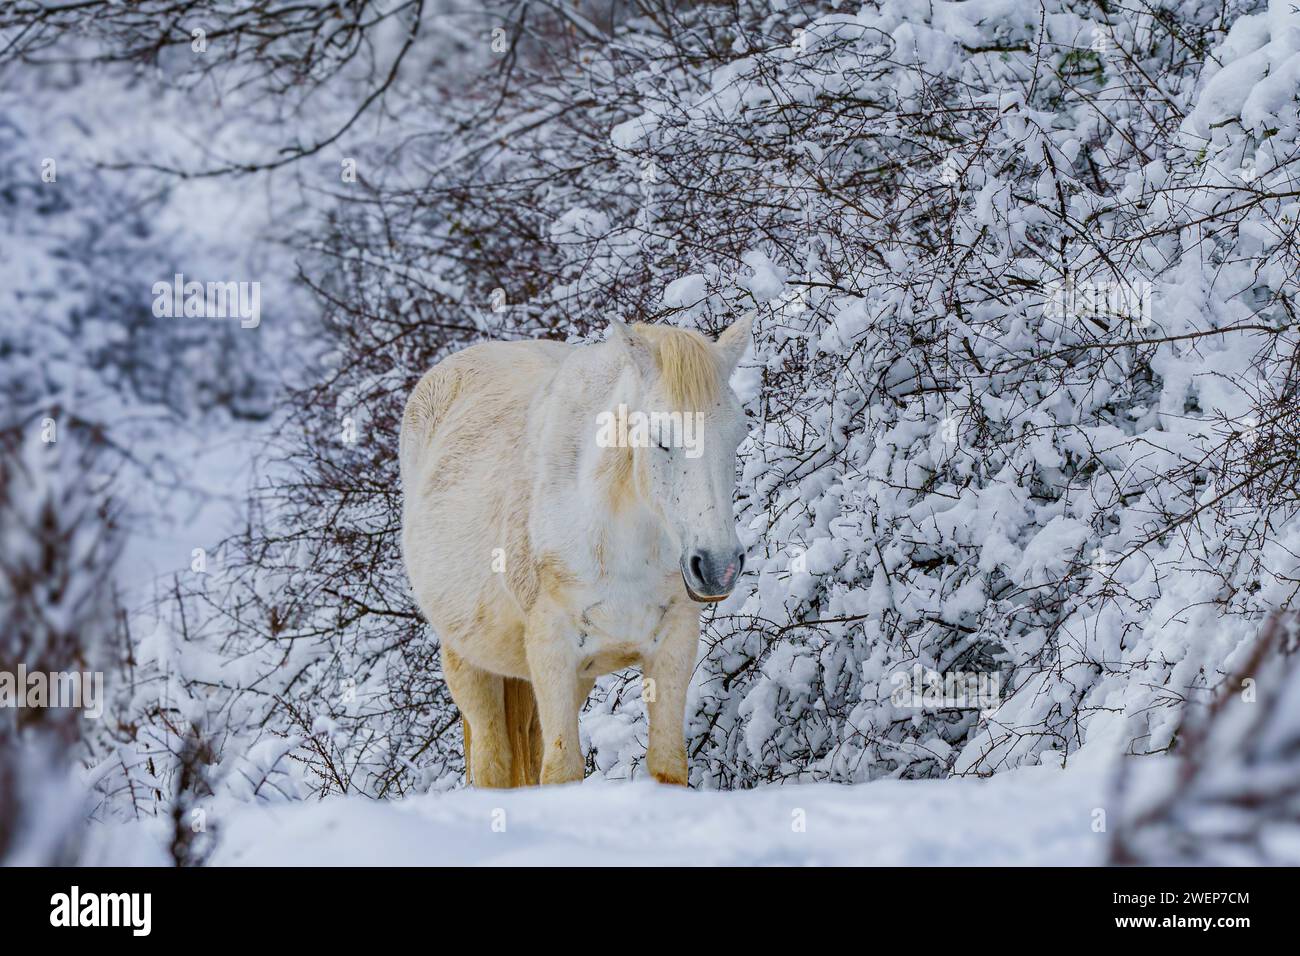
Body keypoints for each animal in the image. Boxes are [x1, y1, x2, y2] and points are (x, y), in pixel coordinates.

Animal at [399, 317, 752, 787]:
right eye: (660, 438)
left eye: (737, 434)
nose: (717, 567)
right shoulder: (552, 653)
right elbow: (561, 771)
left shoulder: (673, 645)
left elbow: (668, 765)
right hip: (468, 663)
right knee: (493, 768)